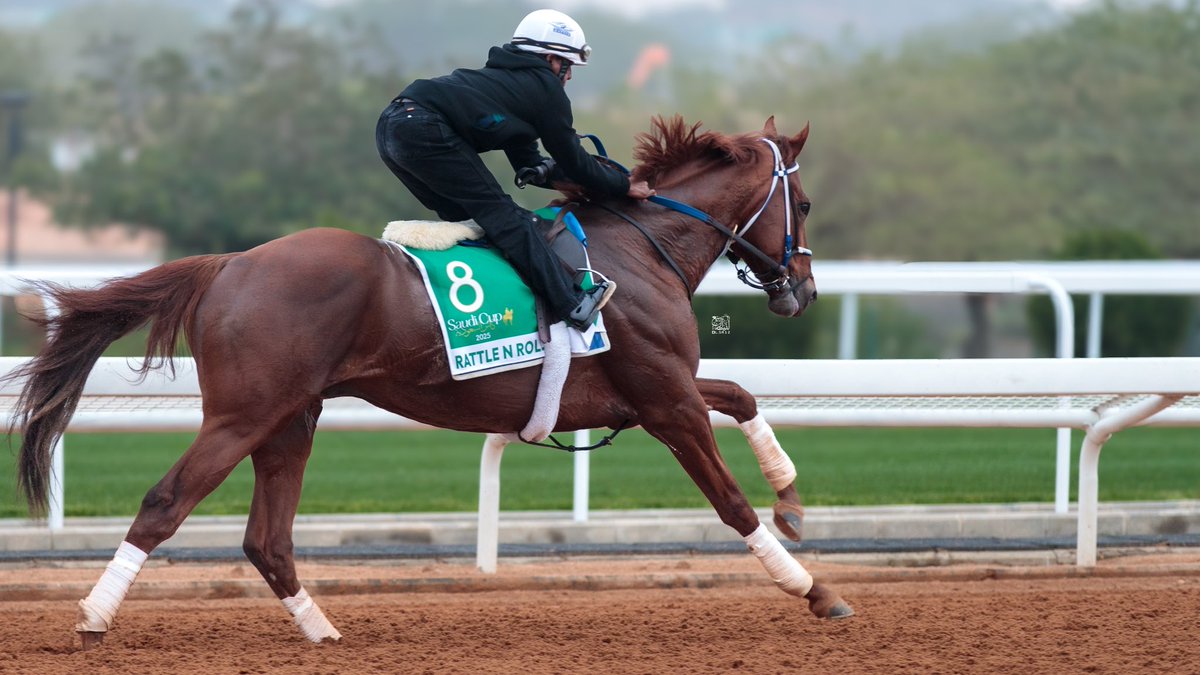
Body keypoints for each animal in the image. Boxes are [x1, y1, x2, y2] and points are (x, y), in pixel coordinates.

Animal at [7, 114, 851, 649]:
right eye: (806, 203)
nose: (803, 288)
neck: (642, 246)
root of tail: (229, 264)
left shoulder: (650, 391)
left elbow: (742, 396)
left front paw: (793, 497)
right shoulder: (665, 398)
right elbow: (730, 501)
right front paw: (813, 586)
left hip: (290, 418)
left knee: (266, 538)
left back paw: (320, 628)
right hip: (242, 414)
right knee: (165, 503)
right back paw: (93, 615)